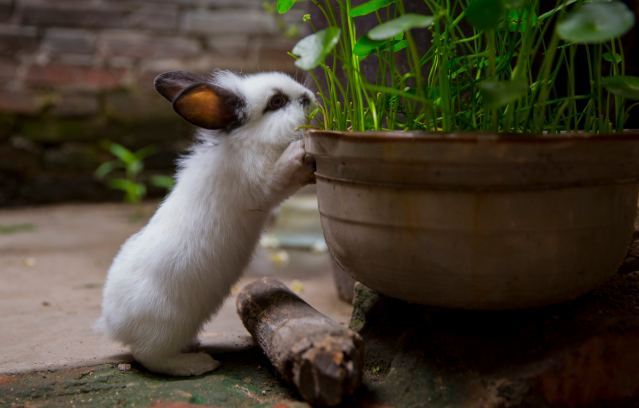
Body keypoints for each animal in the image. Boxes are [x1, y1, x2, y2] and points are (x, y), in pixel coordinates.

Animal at [95, 69, 318, 376]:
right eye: (276, 101)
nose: (310, 97)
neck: (248, 141)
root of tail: (113, 325)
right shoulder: (267, 183)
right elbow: (286, 170)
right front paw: (299, 151)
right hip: (164, 331)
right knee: (150, 358)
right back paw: (199, 364)